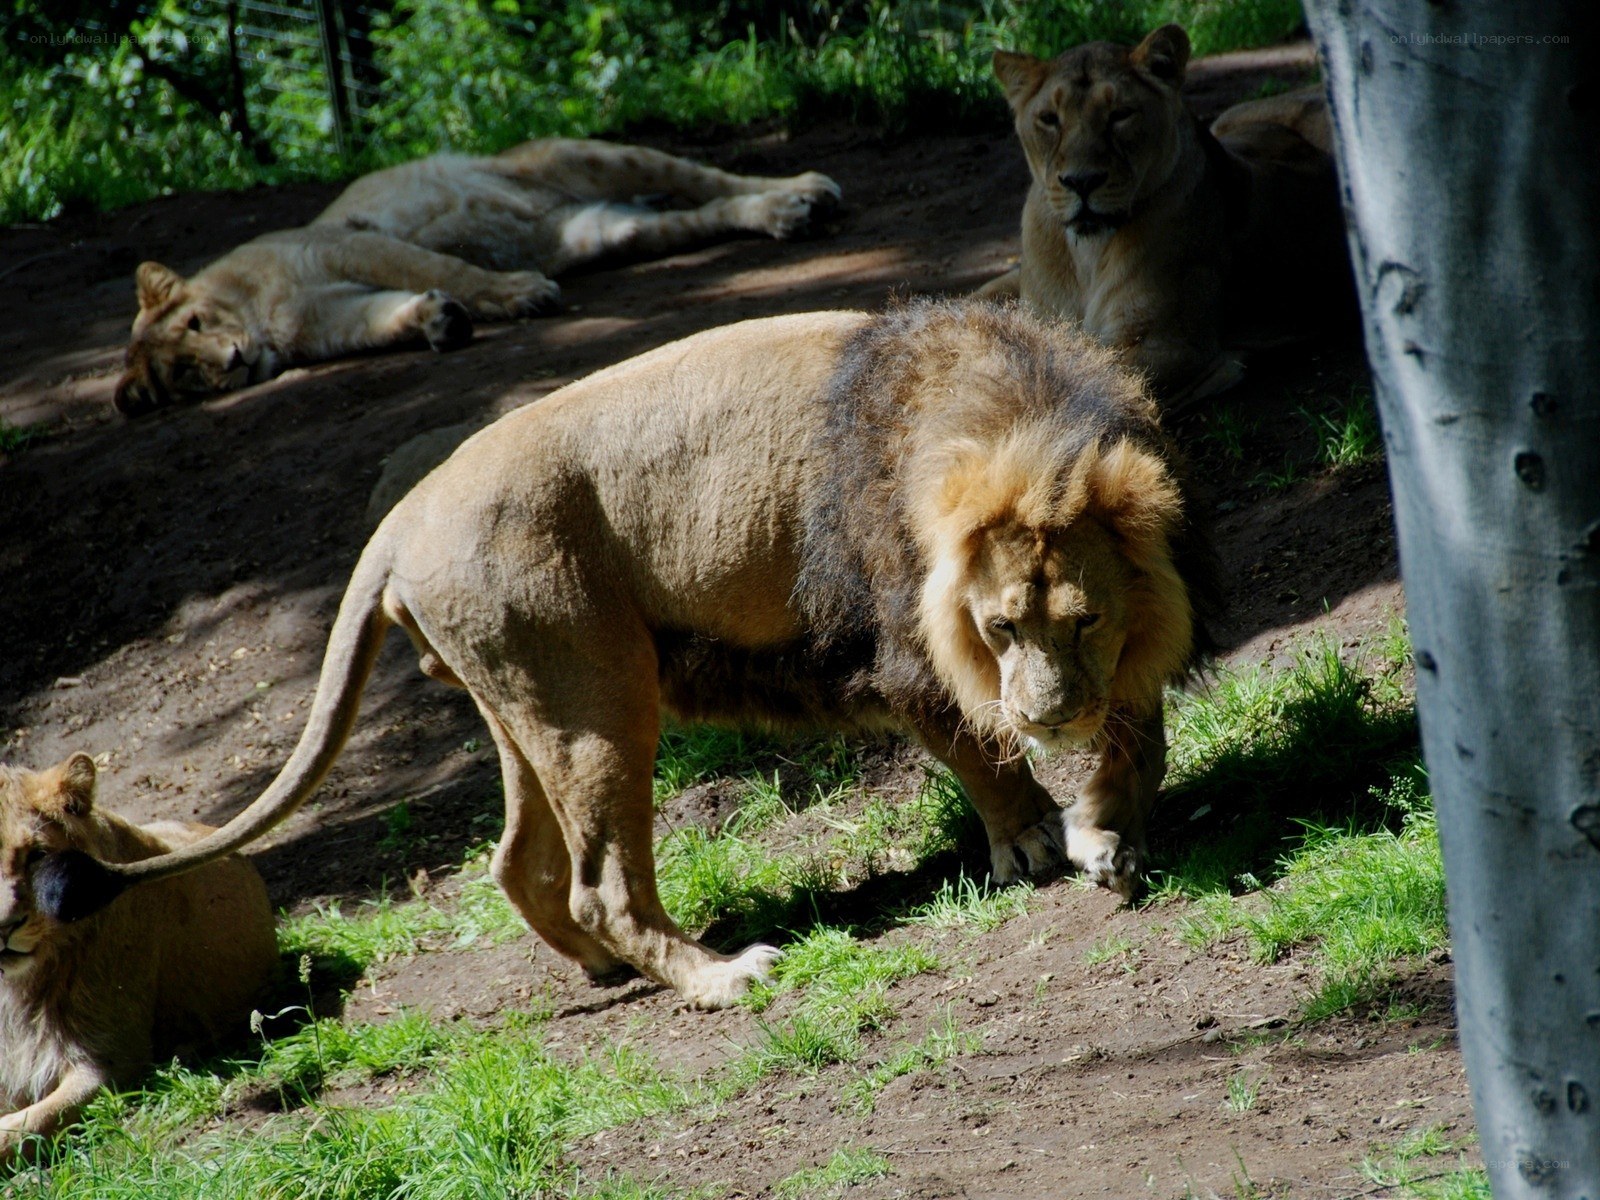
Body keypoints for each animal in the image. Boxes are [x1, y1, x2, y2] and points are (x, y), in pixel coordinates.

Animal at [39, 301, 1218, 1010]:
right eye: (999, 629)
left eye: (1083, 621)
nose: (1047, 715)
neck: (1017, 417)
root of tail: (400, 517)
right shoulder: (901, 652)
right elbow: (978, 752)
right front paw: (1034, 839)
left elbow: (1141, 730)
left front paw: (1111, 826)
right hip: (596, 700)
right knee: (602, 882)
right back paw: (720, 977)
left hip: (529, 702)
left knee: (519, 865)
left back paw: (608, 970)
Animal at [113, 139, 842, 415]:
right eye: (184, 374)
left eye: (196, 323)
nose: (233, 362)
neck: (261, 319)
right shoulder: (326, 318)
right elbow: (384, 319)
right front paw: (438, 321)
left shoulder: (350, 247)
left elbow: (448, 267)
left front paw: (515, 294)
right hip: (607, 229)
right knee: (699, 213)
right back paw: (786, 214)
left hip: (587, 157)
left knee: (708, 177)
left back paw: (804, 191)